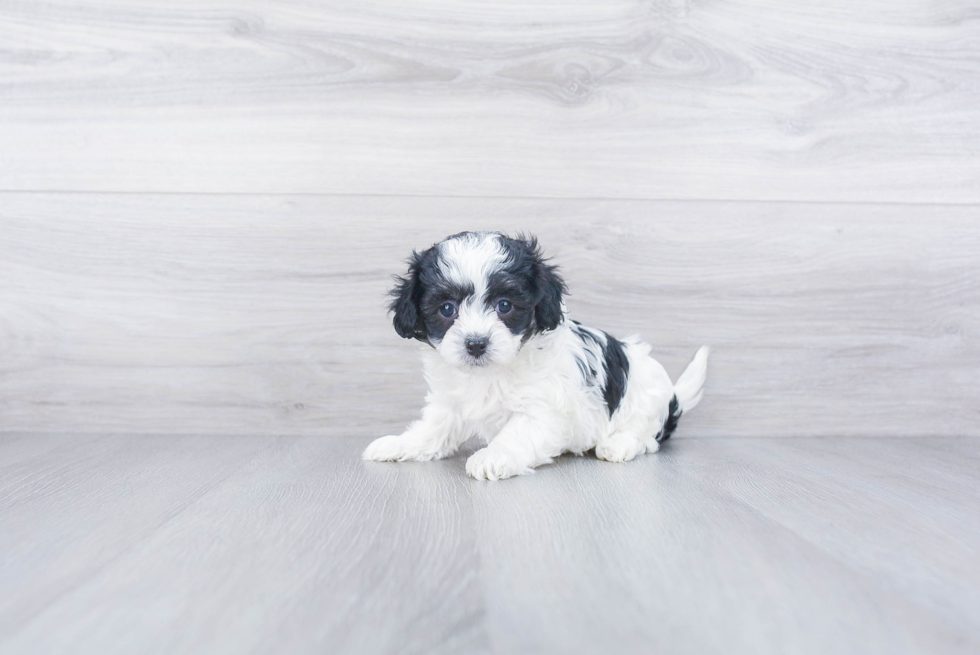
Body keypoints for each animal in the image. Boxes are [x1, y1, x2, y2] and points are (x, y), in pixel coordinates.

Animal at [364, 233, 708, 480]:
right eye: (447, 309)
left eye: (504, 305)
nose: (476, 343)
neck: (490, 373)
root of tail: (673, 398)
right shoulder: (451, 404)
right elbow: (433, 429)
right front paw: (401, 443)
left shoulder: (542, 408)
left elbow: (517, 433)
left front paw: (493, 456)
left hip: (645, 398)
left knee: (646, 436)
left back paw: (617, 444)